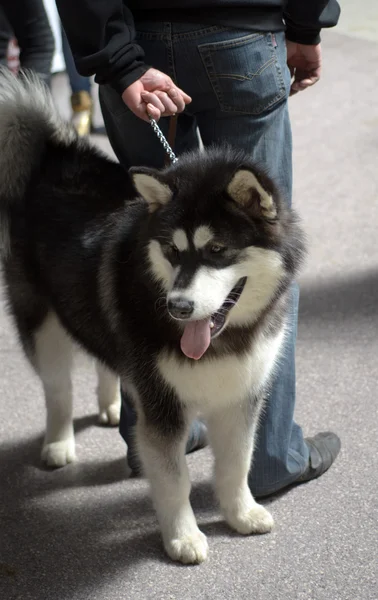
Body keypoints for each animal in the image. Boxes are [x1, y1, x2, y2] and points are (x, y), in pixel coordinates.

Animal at [0, 70, 306, 564]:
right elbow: (174, 477)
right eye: (172, 251)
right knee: (58, 389)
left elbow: (238, 461)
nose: (178, 307)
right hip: (43, 324)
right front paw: (183, 537)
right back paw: (59, 442)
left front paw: (240, 513)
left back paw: (110, 404)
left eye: (217, 250)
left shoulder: (241, 392)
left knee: (106, 357)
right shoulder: (161, 407)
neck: (223, 341)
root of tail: (55, 157)